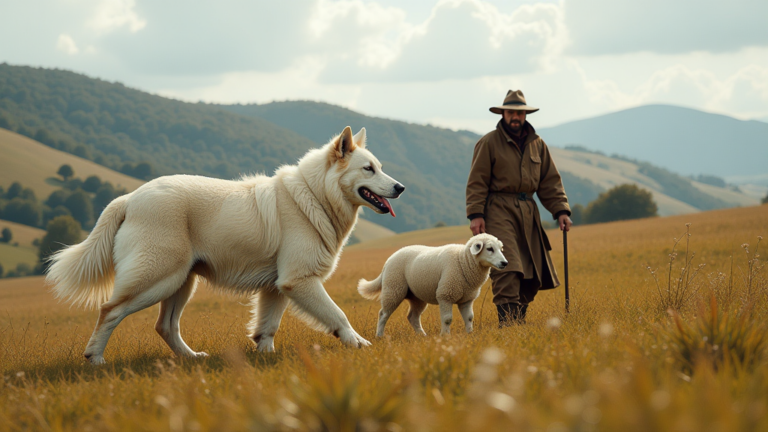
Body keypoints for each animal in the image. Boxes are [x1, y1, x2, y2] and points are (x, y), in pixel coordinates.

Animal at [45, 125, 404, 364]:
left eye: (380, 167)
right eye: (368, 169)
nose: (401, 188)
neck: (314, 195)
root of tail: (129, 199)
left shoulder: (277, 287)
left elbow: (267, 327)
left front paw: (264, 357)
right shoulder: (299, 281)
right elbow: (337, 314)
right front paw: (358, 343)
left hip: (180, 283)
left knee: (165, 326)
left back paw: (192, 358)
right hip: (157, 279)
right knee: (110, 310)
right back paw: (95, 359)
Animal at [356, 233, 508, 338]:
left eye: (500, 249)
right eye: (489, 249)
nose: (504, 263)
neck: (463, 261)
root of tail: (388, 261)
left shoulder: (467, 299)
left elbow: (469, 317)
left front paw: (470, 334)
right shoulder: (445, 294)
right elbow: (447, 319)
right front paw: (445, 336)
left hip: (416, 297)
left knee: (412, 317)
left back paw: (422, 336)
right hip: (393, 288)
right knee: (383, 314)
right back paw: (379, 336)